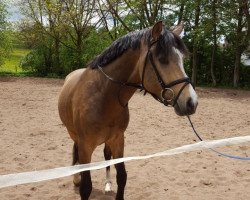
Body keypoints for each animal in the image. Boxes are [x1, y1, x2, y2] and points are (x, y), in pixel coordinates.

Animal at [58, 21, 197, 199]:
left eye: (182, 59)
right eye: (162, 59)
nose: (191, 102)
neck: (103, 96)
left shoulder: (118, 139)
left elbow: (122, 176)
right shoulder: (85, 145)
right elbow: (86, 186)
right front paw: (80, 181)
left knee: (106, 155)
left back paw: (107, 184)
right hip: (74, 134)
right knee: (75, 151)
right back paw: (76, 178)